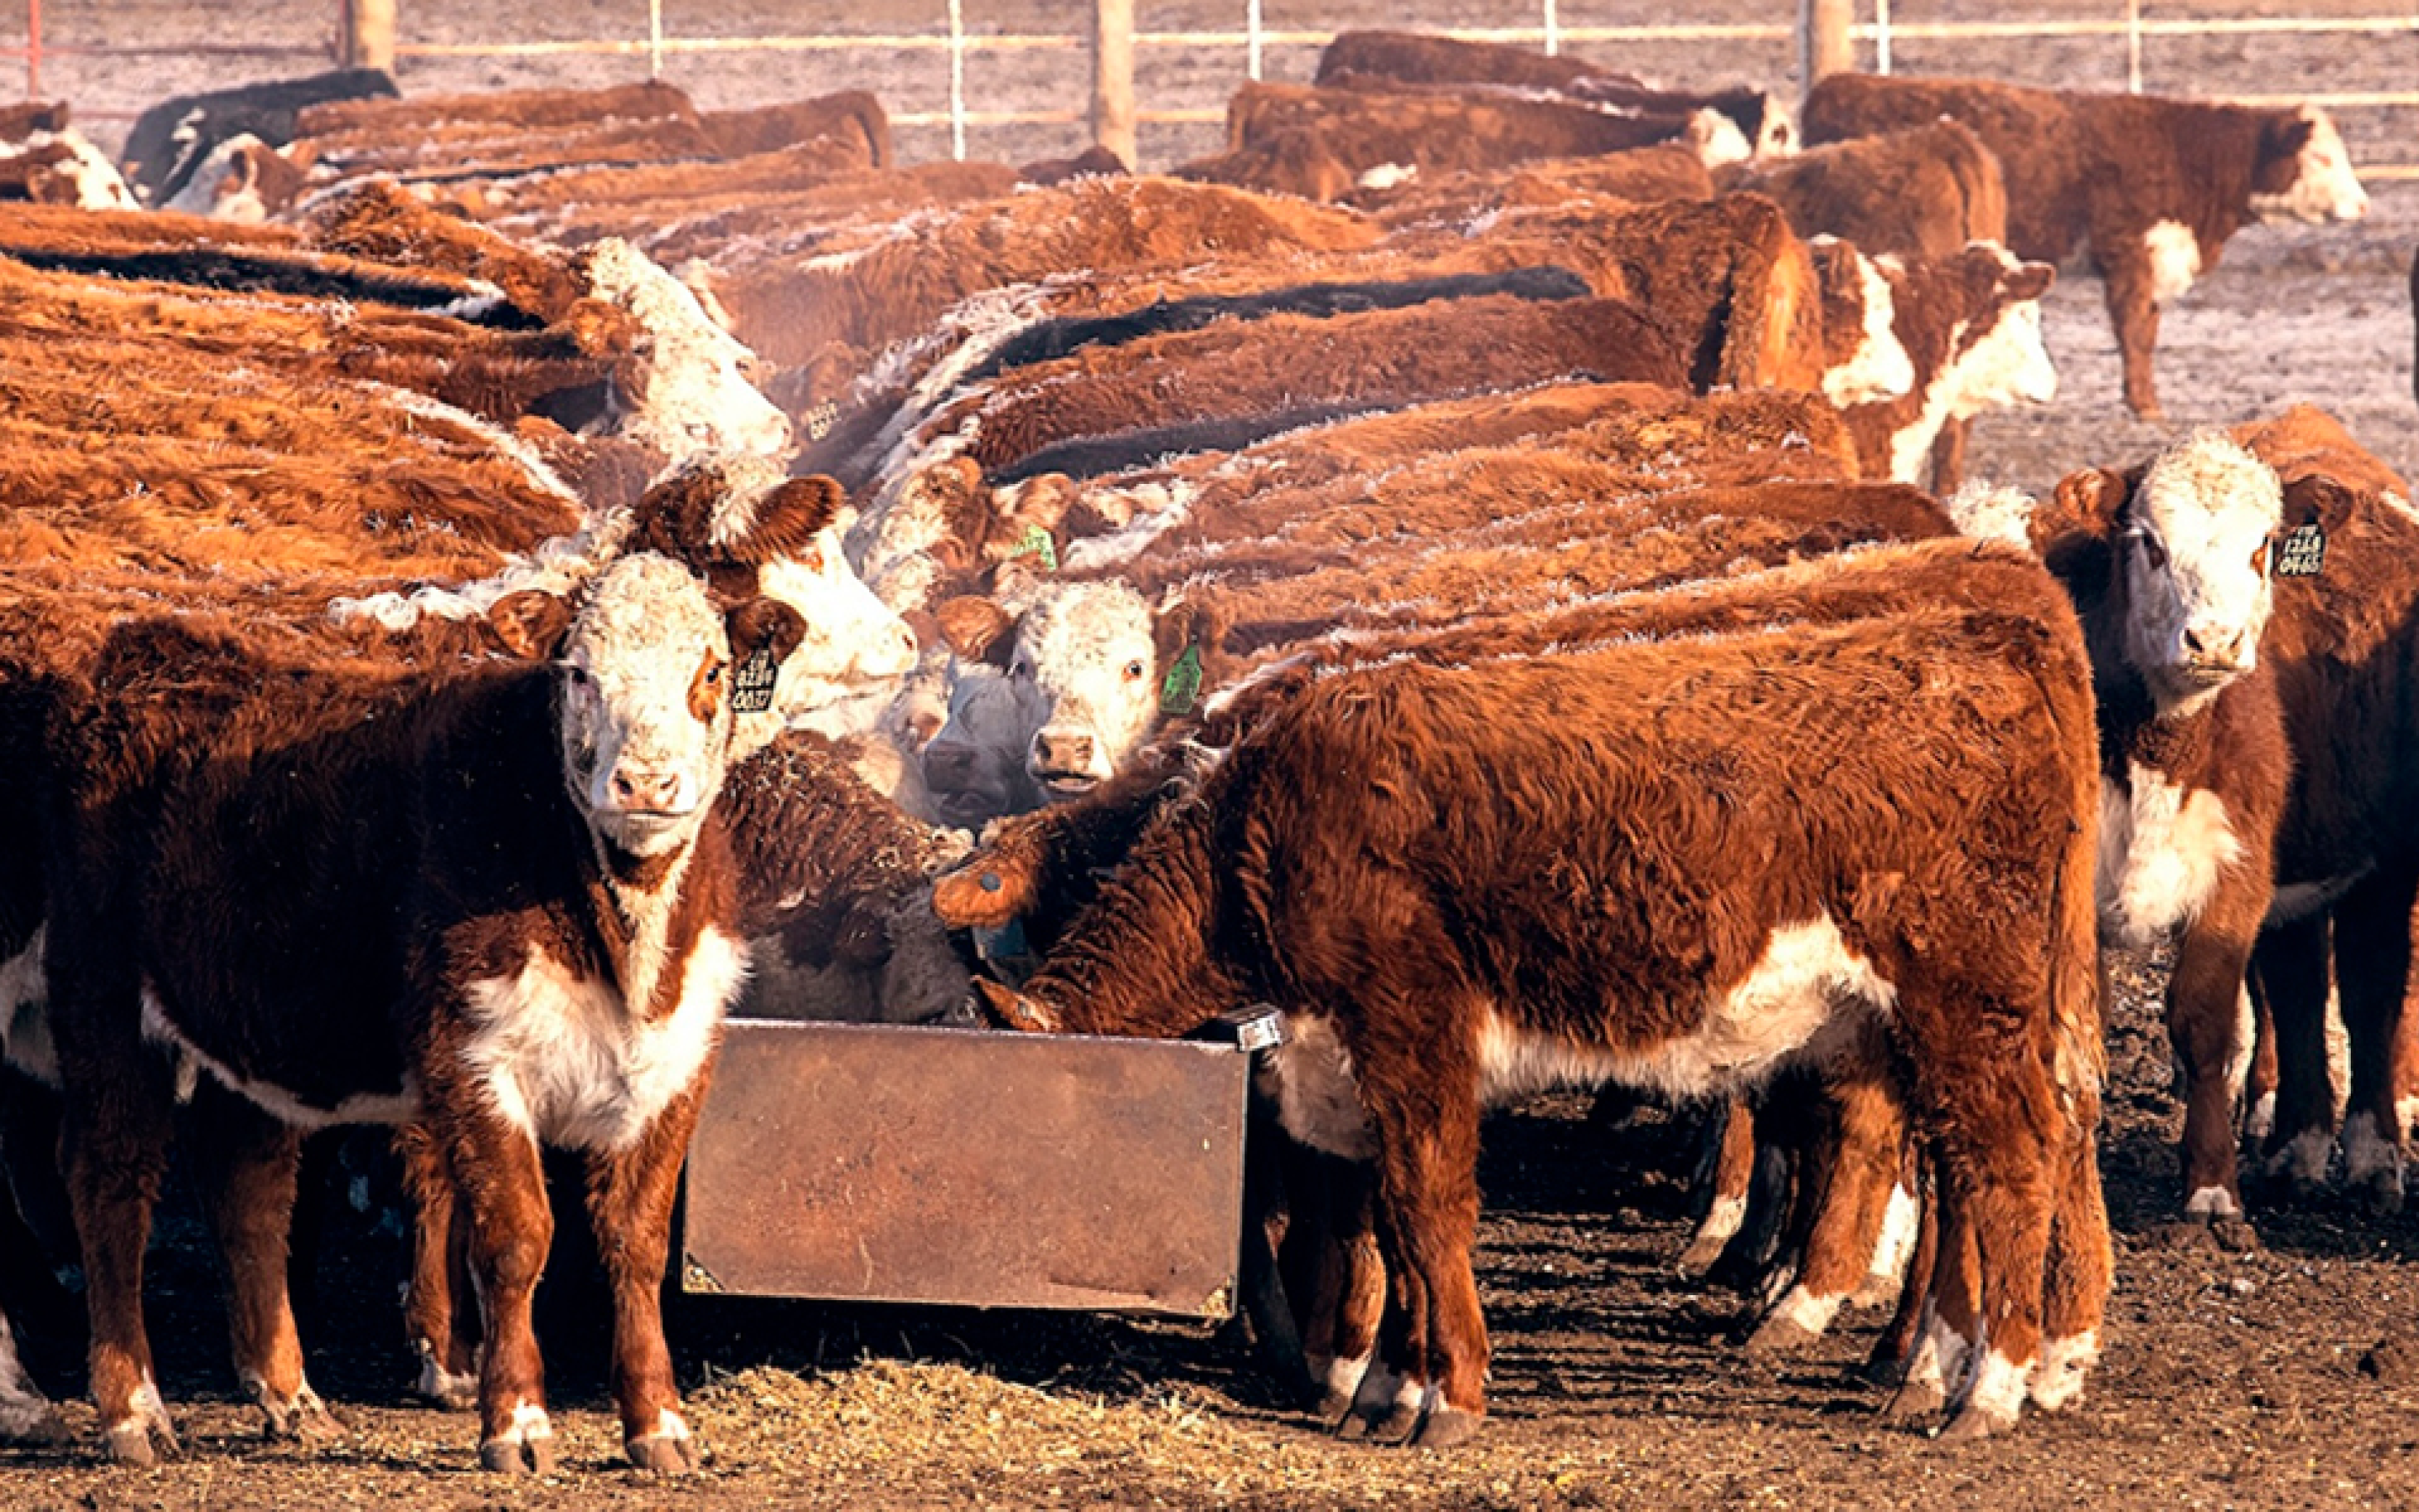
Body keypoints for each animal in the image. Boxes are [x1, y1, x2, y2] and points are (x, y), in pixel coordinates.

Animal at [39, 553, 802, 1471]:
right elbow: (515, 1236)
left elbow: (637, 1242)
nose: (646, 781)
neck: (623, 931)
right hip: (104, 996)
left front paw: (658, 1424)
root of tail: (146, 647)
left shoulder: (679, 1057)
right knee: (111, 1177)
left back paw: (291, 1394)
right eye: (578, 673)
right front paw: (518, 1422)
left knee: (246, 1182)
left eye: (712, 670)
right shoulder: (471, 1053)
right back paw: (133, 1409)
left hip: (255, 1025)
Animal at [971, 561, 2106, 1444]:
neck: (1266, 830)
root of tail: (1983, 643)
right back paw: (1929, 1374)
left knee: (2012, 1164)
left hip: (1966, 1003)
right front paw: (1389, 1387)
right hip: (1921, 1024)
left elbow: (1426, 1209)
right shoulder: (1345, 1062)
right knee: (1962, 1173)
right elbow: (1391, 1224)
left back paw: (1988, 1387)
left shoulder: (1412, 1031)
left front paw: (1443, 1398)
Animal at [1803, 73, 2368, 419]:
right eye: (2321, 158)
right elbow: (2135, 333)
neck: (2186, 154)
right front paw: (2144, 406)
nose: (2362, 205)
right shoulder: (2130, 256)